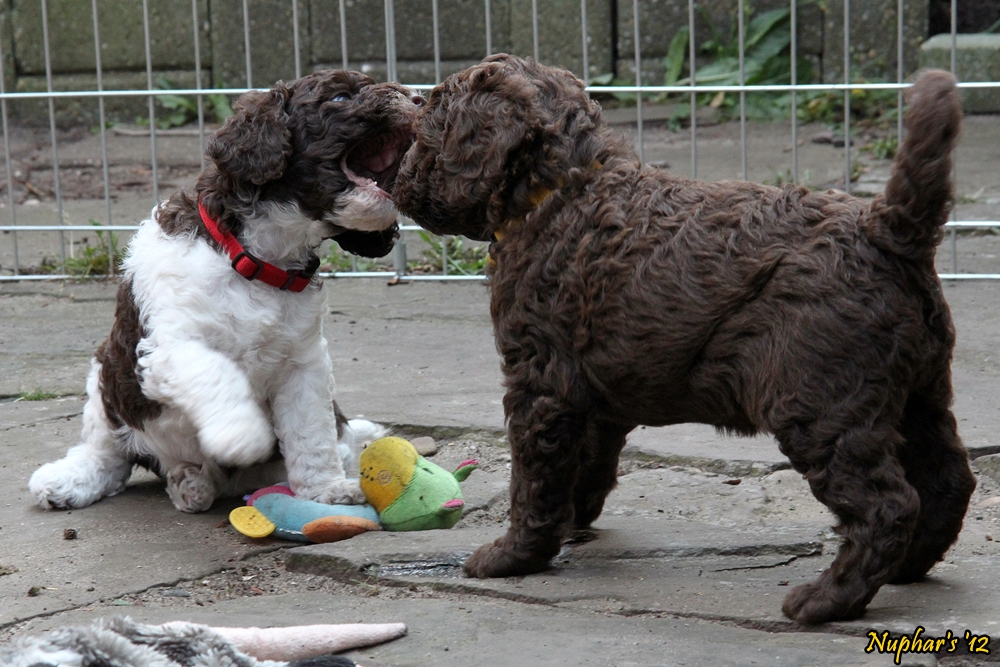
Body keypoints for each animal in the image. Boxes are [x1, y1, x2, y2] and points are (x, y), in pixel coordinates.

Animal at [29, 70, 422, 513]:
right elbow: (215, 372)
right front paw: (242, 434)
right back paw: (76, 479)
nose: (419, 98)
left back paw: (193, 482)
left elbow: (311, 430)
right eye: (339, 97)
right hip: (106, 378)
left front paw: (325, 489)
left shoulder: (304, 364)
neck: (256, 258)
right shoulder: (169, 347)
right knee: (110, 451)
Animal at [393, 54, 976, 624]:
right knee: (948, 479)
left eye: (427, 127)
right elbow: (588, 461)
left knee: (887, 503)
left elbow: (533, 480)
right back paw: (908, 566)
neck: (562, 187)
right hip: (919, 387)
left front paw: (511, 556)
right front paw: (576, 519)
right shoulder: (594, 393)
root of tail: (885, 229)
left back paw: (826, 600)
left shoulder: (540, 383)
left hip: (820, 399)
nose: (396, 183)